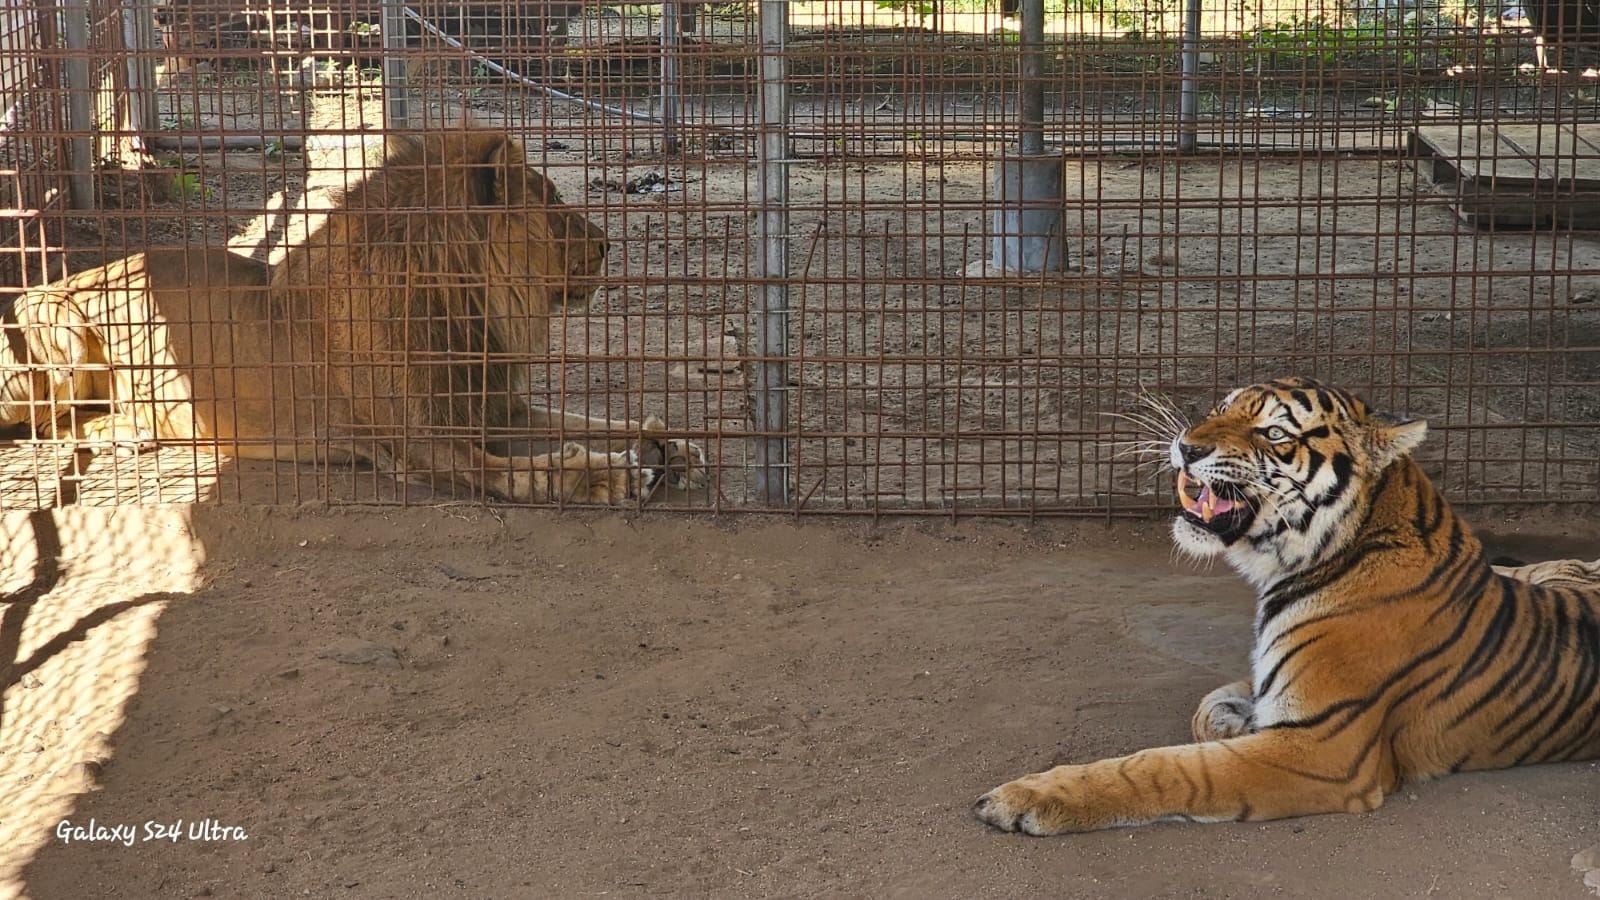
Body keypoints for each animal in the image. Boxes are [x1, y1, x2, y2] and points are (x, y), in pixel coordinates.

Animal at [0, 128, 704, 503]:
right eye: (554, 203)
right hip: (61, 331)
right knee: (52, 427)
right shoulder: (419, 443)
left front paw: (673, 441)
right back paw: (128, 430)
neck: (466, 304)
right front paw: (604, 476)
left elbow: (595, 420)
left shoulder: (494, 407)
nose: (608, 245)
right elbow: (520, 472)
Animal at [973, 376, 1600, 836]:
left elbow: (1166, 767)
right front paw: (1232, 719)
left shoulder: (1323, 748)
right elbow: (1207, 706)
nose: (1187, 446)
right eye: (1220, 408)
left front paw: (1026, 797)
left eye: (1274, 431)